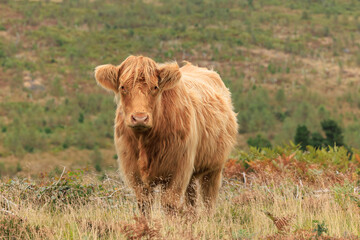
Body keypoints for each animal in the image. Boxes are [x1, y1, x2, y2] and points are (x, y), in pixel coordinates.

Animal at [94, 55, 238, 213]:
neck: (145, 142)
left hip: (214, 168)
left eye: (155, 87)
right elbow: (144, 205)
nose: (140, 118)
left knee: (208, 200)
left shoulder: (177, 171)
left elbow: (170, 204)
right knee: (191, 199)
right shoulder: (134, 173)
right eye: (123, 87)